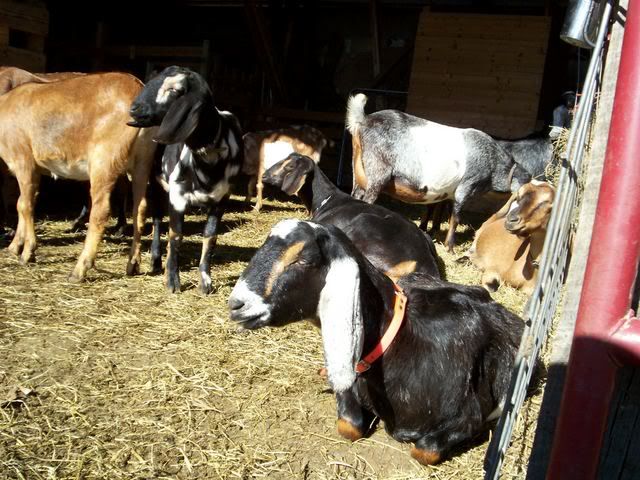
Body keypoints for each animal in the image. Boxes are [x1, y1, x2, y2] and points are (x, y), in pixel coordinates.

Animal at [0, 72, 156, 281]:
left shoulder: (23, 161)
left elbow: (24, 206)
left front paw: (27, 253)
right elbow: (22, 203)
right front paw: (15, 246)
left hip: (103, 159)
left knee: (101, 211)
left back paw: (80, 269)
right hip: (142, 161)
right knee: (140, 209)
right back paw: (133, 264)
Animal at [128, 66, 244, 294]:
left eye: (175, 90)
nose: (134, 109)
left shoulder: (221, 200)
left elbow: (210, 237)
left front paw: (205, 283)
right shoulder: (177, 197)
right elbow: (176, 235)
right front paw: (172, 281)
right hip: (155, 182)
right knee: (157, 219)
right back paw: (156, 260)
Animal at [228, 219, 523, 464]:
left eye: (303, 260)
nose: (236, 304)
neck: (400, 343)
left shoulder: (468, 418)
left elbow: (424, 451)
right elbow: (348, 426)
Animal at [346, 93, 531, 251]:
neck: (494, 163)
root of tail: (363, 119)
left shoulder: (444, 192)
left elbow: (437, 210)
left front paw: (431, 231)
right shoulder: (467, 186)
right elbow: (455, 217)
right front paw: (450, 247)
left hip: (358, 172)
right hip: (377, 172)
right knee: (368, 198)